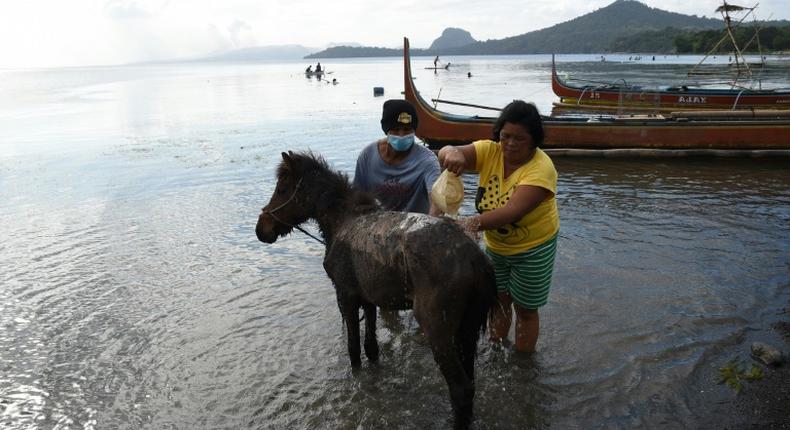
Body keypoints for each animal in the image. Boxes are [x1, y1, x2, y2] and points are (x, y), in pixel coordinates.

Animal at [258, 150, 496, 426]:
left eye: (283, 189)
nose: (261, 229)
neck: (340, 221)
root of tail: (475, 258)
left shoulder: (346, 296)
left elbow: (354, 350)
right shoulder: (368, 299)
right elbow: (371, 347)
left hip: (438, 329)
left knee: (461, 389)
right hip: (467, 329)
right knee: (470, 381)